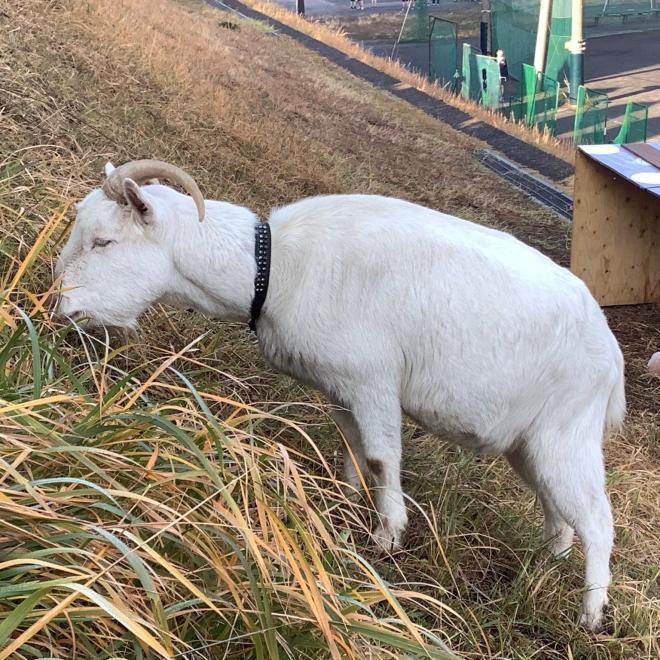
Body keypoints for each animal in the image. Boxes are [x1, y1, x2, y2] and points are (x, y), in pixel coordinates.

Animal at [55, 159, 624, 628]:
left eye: (104, 241)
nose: (60, 307)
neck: (272, 269)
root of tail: (611, 357)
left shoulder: (373, 380)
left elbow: (380, 458)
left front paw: (387, 537)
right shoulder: (340, 387)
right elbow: (350, 448)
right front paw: (343, 504)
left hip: (567, 431)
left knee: (598, 519)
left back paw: (591, 615)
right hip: (528, 444)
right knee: (558, 511)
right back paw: (543, 567)